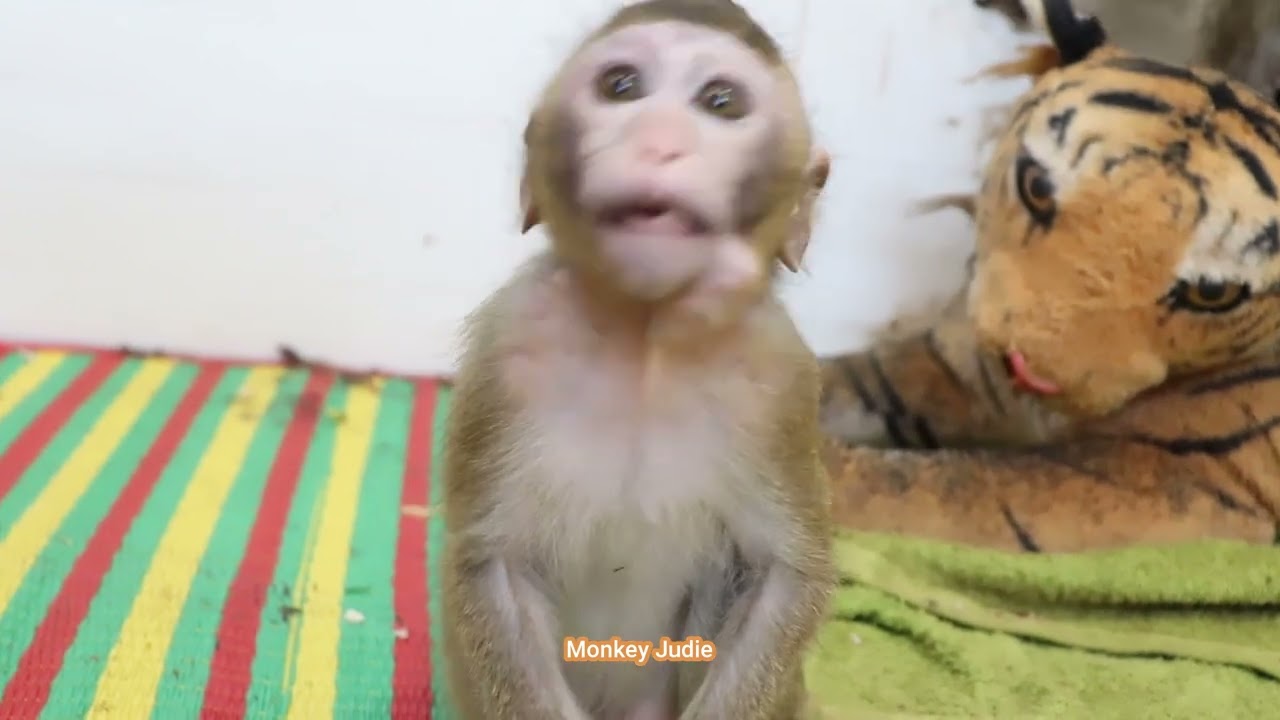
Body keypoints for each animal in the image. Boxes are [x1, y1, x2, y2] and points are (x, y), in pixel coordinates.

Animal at [439, 2, 836, 719]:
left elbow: (782, 577)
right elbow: (494, 566)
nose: (658, 141)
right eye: (620, 87)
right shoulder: (508, 343)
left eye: (721, 101)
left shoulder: (780, 378)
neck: (647, 340)